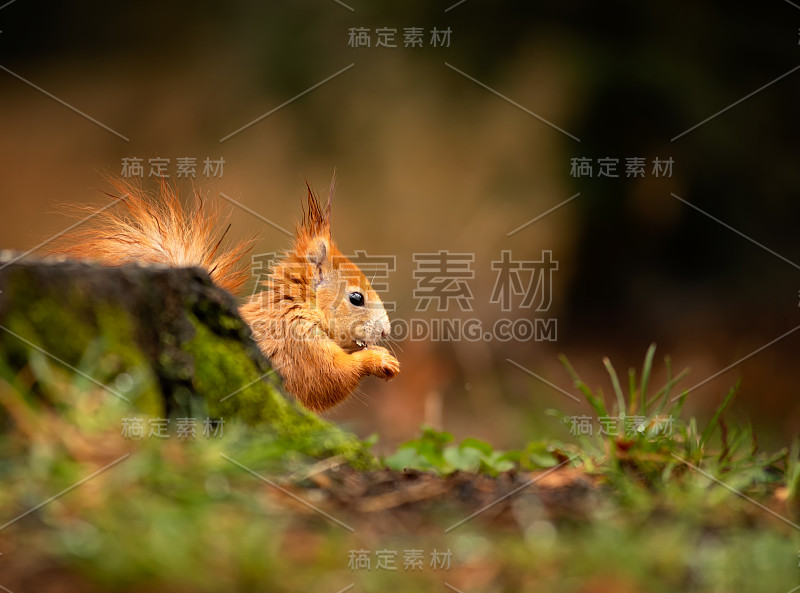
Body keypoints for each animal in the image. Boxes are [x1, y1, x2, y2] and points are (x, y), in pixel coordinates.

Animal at [51, 177, 400, 412]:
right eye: (356, 298)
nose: (386, 331)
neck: (296, 307)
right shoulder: (296, 344)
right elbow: (327, 378)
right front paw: (378, 360)